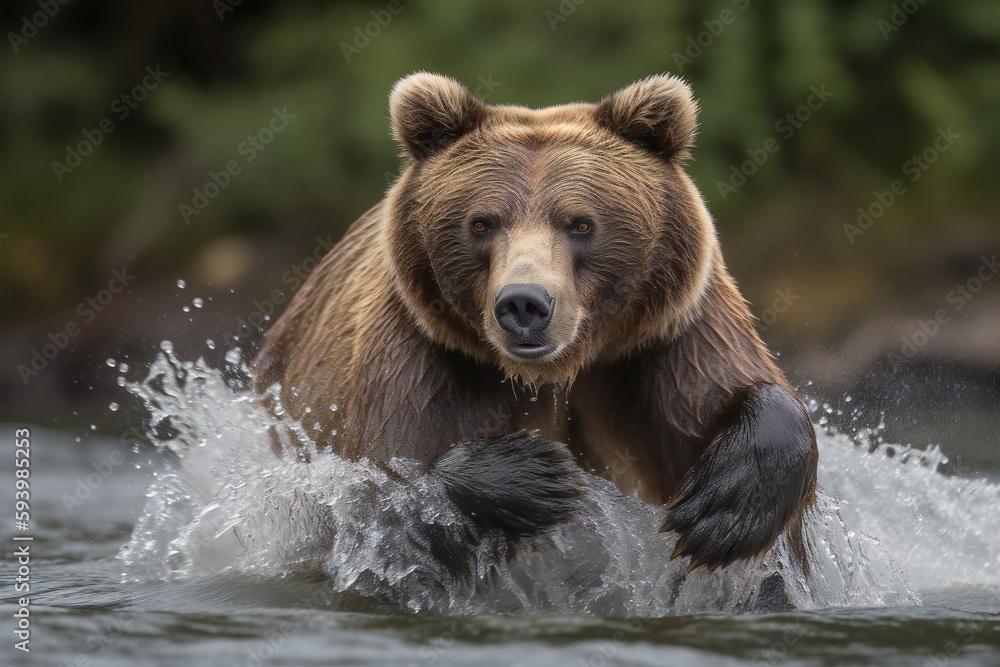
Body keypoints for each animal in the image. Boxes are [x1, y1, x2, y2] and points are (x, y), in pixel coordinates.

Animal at [248, 72, 812, 576]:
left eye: (581, 223)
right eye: (481, 223)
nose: (524, 304)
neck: (558, 372)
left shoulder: (661, 341)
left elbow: (724, 390)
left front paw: (722, 512)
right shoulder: (423, 358)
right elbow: (387, 488)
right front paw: (539, 476)